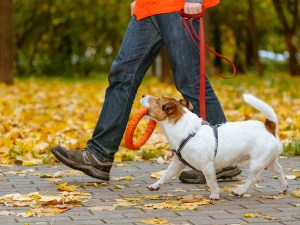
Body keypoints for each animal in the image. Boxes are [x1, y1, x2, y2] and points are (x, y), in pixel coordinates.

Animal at [141, 94, 288, 200]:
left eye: (157, 100)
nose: (142, 95)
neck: (186, 131)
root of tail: (268, 126)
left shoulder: (207, 166)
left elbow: (211, 182)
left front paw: (215, 195)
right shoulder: (177, 163)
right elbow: (165, 175)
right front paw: (155, 185)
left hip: (257, 163)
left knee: (252, 179)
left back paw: (240, 191)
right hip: (269, 161)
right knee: (279, 170)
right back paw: (284, 187)